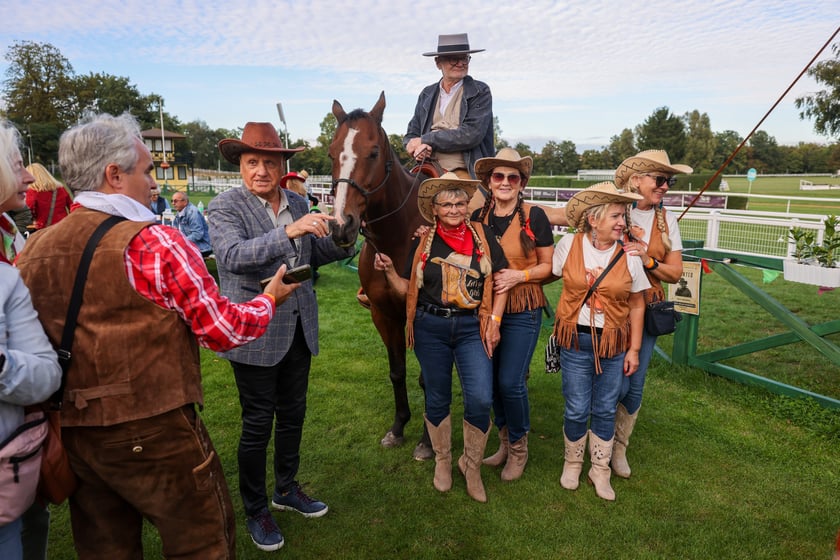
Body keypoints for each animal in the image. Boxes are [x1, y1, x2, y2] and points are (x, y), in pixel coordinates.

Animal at [329, 92, 433, 459]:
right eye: (331, 153)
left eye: (373, 152)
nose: (341, 226)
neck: (400, 235)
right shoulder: (383, 314)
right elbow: (398, 372)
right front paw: (399, 427)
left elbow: (429, 379)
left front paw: (427, 441)